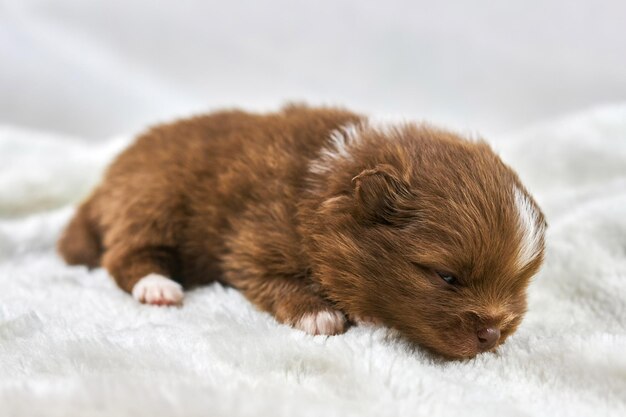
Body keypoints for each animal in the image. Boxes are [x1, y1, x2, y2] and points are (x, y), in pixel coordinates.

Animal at [59, 103, 544, 358]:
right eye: (447, 277)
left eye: (521, 283)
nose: (492, 335)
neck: (328, 179)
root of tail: (106, 180)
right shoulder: (254, 241)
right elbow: (276, 280)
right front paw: (319, 313)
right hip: (151, 200)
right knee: (124, 255)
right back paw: (158, 287)